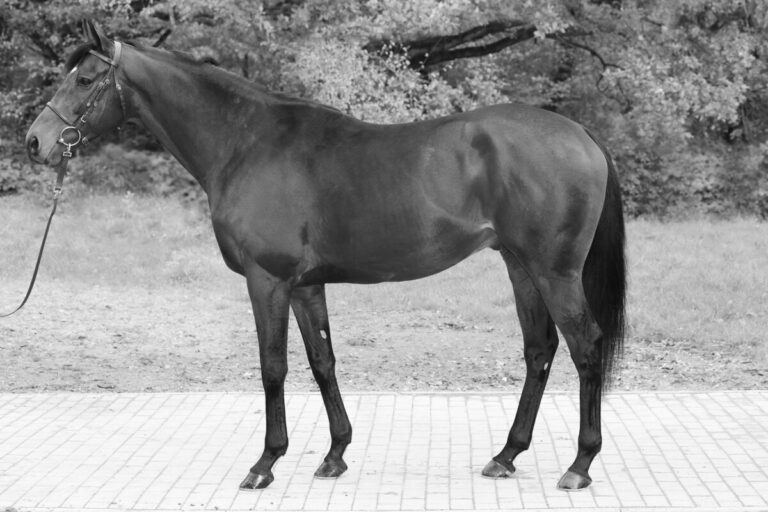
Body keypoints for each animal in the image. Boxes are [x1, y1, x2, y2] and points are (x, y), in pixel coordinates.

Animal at [25, 21, 626, 492]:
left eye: (84, 79)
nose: (35, 142)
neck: (246, 144)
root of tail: (582, 134)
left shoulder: (266, 281)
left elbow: (273, 367)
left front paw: (265, 463)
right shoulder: (305, 286)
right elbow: (322, 363)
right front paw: (335, 455)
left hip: (554, 272)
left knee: (586, 347)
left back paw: (579, 464)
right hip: (520, 266)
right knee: (539, 351)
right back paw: (506, 455)